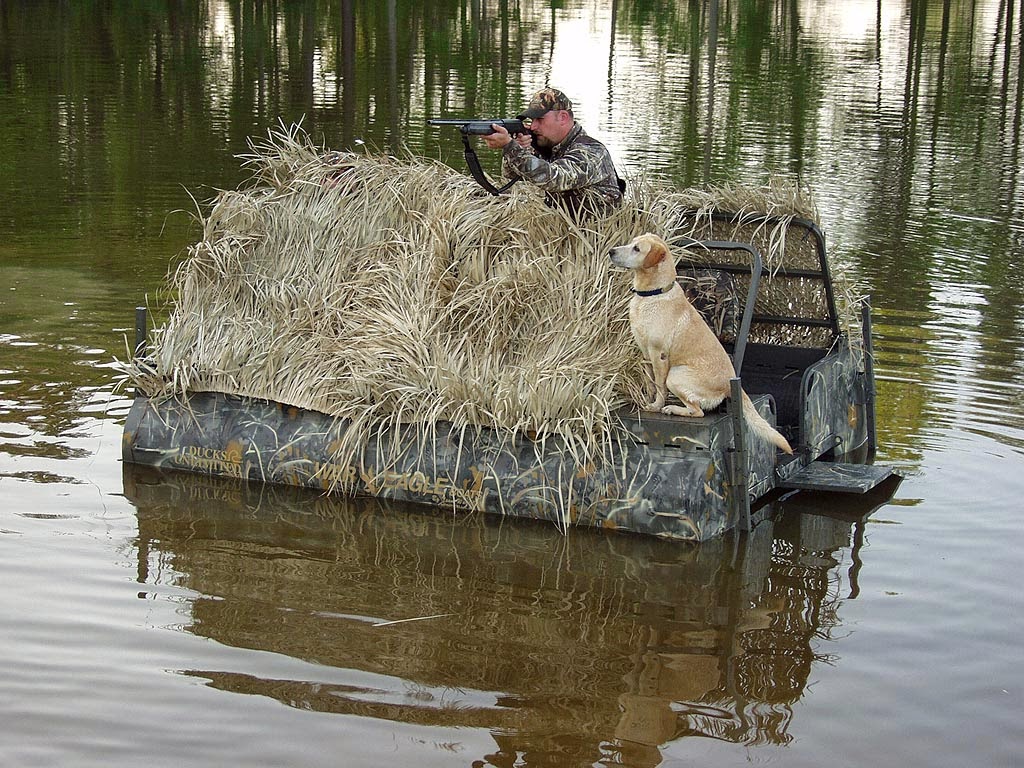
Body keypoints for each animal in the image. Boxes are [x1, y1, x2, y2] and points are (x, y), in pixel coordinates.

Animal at [606, 231, 790, 454]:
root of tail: (730, 385)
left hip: (675, 376)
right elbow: (650, 384)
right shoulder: (645, 354)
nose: (611, 251)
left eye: (637, 249)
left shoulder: (659, 354)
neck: (653, 294)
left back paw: (672, 408)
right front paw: (646, 400)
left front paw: (656, 406)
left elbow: (659, 386)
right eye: (631, 242)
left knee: (697, 411)